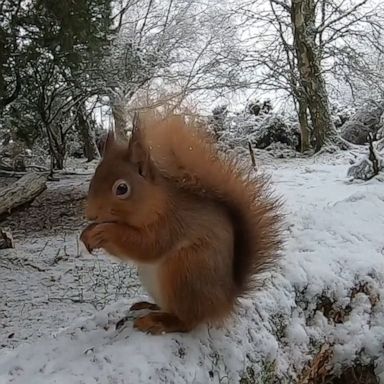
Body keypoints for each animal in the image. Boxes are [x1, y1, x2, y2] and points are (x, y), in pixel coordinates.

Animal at [80, 112, 282, 334]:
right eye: (94, 177)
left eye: (122, 189)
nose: (91, 215)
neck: (157, 202)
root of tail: (225, 300)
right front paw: (86, 234)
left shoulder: (172, 224)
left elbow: (148, 246)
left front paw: (104, 232)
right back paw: (149, 306)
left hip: (184, 272)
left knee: (188, 321)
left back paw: (158, 321)